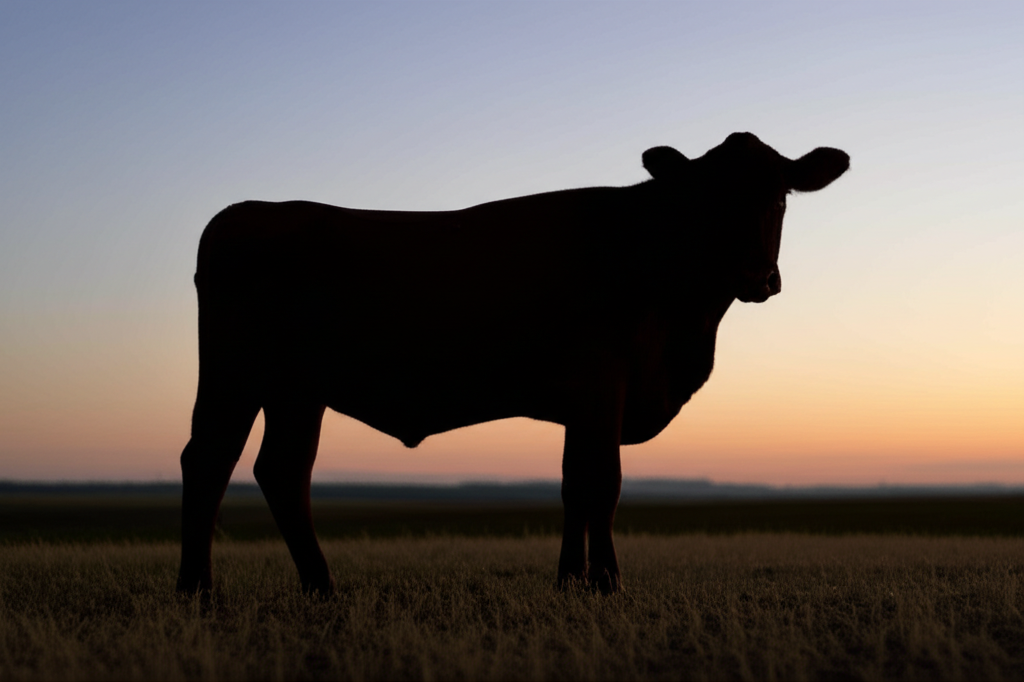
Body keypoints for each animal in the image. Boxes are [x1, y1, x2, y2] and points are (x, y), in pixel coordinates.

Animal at [176, 132, 849, 596]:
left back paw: (322, 588)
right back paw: (199, 593)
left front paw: (571, 582)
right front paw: (607, 584)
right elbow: (603, 484)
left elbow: (574, 485)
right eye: (709, 198)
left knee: (282, 471)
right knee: (209, 461)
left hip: (296, 390)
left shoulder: (587, 401)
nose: (757, 277)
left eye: (780, 195)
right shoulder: (603, 382)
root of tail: (248, 211)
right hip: (236, 375)